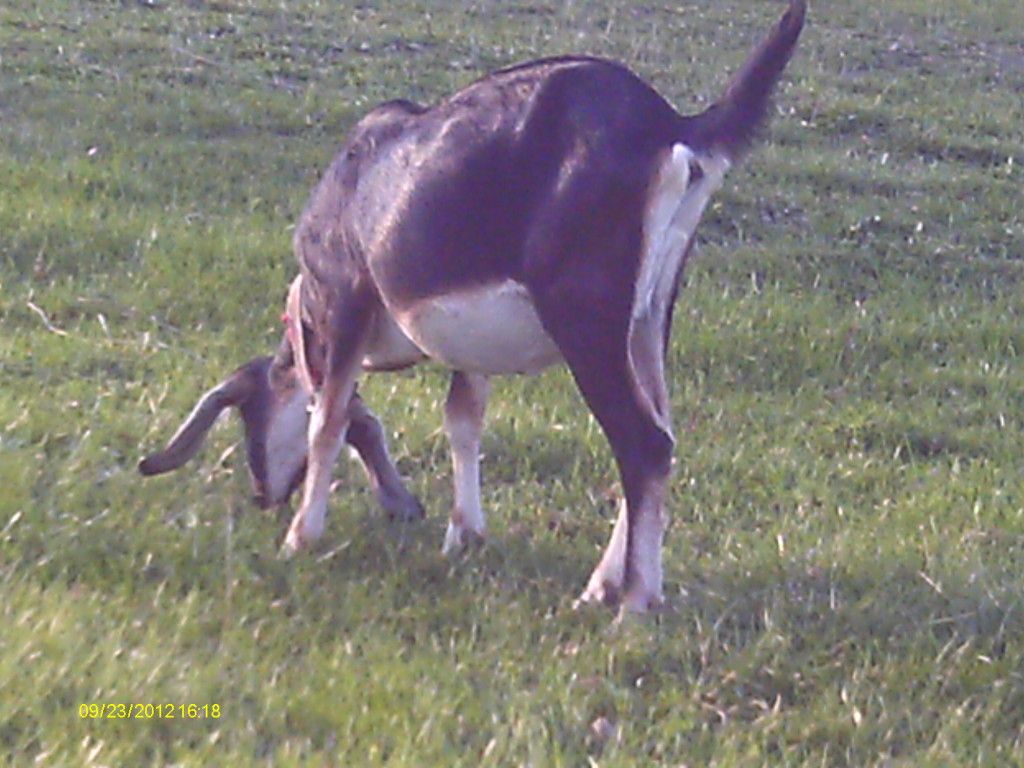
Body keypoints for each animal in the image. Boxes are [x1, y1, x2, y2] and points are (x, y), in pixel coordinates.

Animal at [140, 0, 806, 616]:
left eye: (248, 414)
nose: (263, 496)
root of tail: (670, 126)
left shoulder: (347, 301)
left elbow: (326, 419)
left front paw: (301, 540)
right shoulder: (469, 346)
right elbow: (463, 417)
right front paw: (464, 534)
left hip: (585, 317)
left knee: (644, 443)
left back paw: (634, 603)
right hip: (647, 316)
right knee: (660, 430)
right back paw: (601, 585)